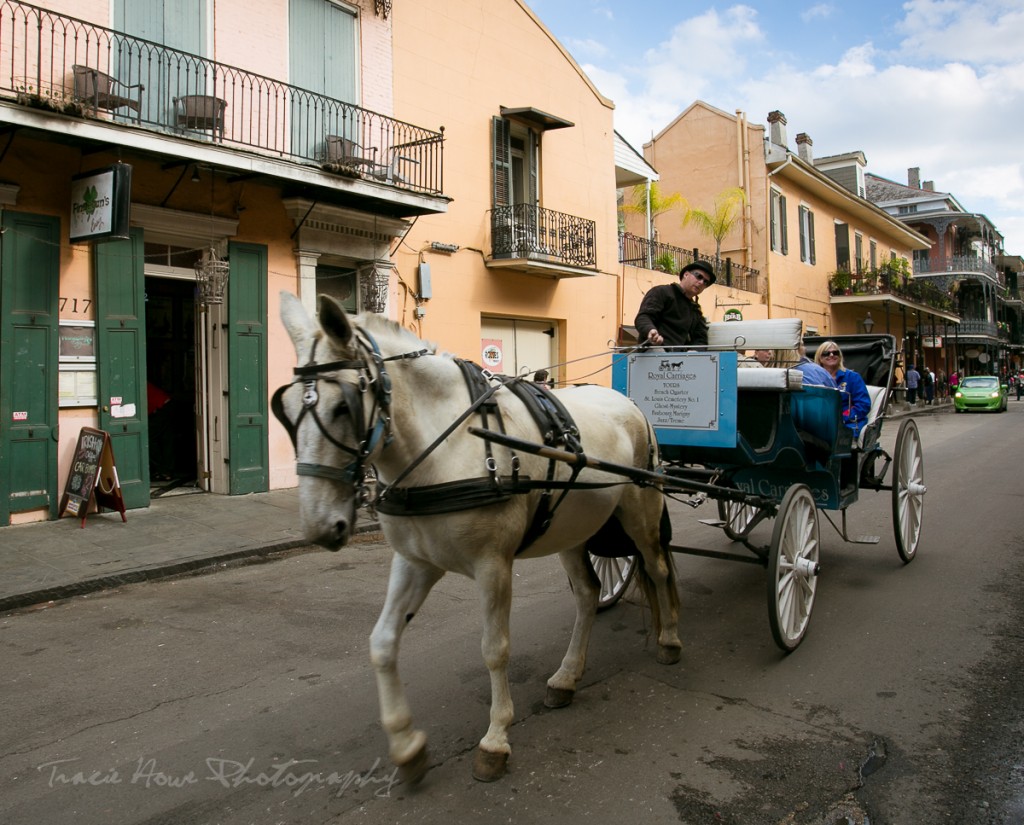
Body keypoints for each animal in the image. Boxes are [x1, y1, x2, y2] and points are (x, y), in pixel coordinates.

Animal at [276, 294, 684, 786]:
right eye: (287, 408)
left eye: (342, 407)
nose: (320, 526)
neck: (446, 448)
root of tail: (628, 402)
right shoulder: (415, 562)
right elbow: (382, 642)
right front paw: (406, 744)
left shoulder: (493, 566)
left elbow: (494, 649)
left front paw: (495, 740)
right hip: (571, 525)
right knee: (588, 594)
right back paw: (567, 677)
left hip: (641, 510)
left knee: (657, 568)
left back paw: (669, 638)